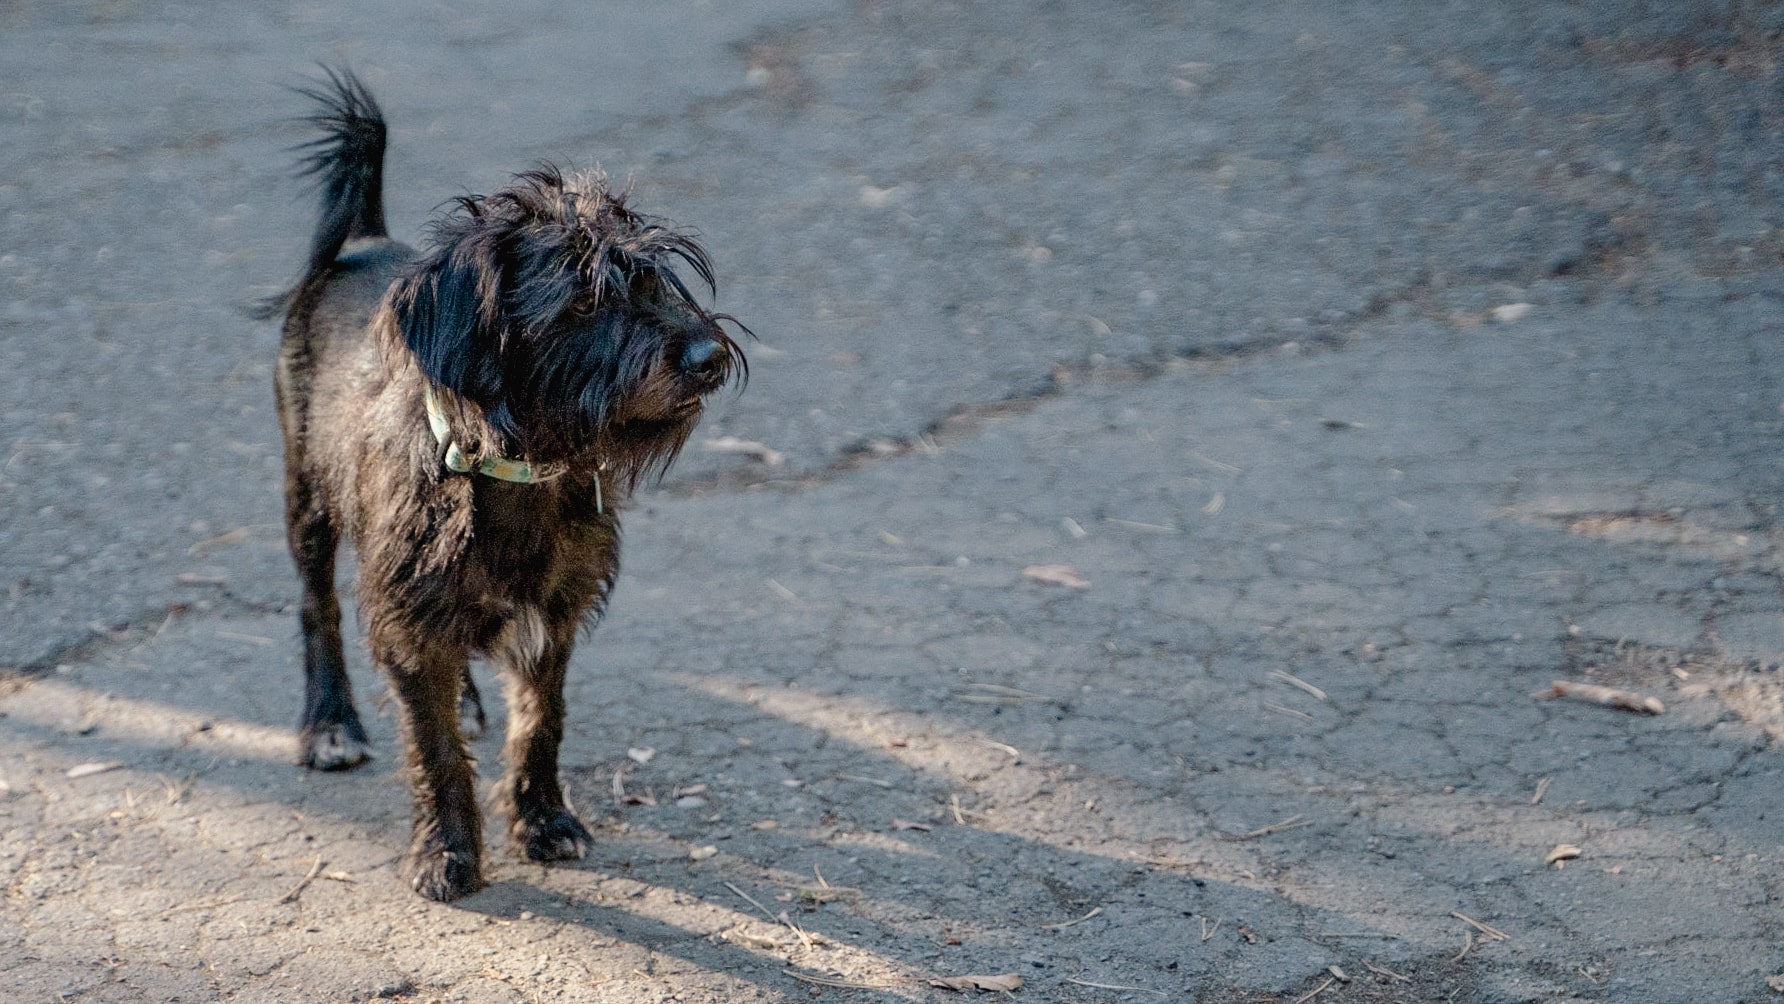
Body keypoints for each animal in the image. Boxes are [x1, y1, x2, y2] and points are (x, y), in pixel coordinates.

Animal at [255, 72, 742, 902]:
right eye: (584, 297)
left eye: (654, 278)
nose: (710, 356)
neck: (516, 472)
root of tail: (366, 242)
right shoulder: (409, 621)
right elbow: (435, 749)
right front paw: (446, 851)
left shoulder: (553, 617)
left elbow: (540, 723)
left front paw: (542, 820)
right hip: (308, 497)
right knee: (317, 607)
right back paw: (329, 724)